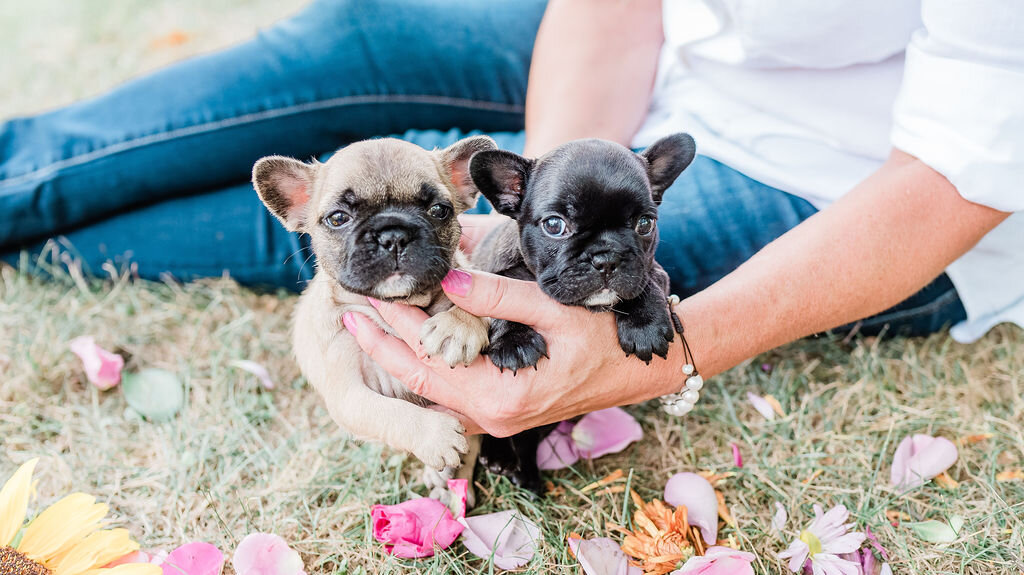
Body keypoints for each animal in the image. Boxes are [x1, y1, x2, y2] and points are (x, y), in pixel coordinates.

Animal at [254, 134, 495, 493]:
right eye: (338, 218)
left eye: (439, 210)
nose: (393, 235)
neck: (398, 304)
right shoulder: (348, 397)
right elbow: (388, 412)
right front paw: (435, 435)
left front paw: (459, 326)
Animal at [468, 131, 700, 491]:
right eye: (554, 225)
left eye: (645, 223)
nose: (606, 258)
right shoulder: (497, 273)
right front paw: (515, 342)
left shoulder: (652, 271)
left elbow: (647, 284)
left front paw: (645, 326)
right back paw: (501, 456)